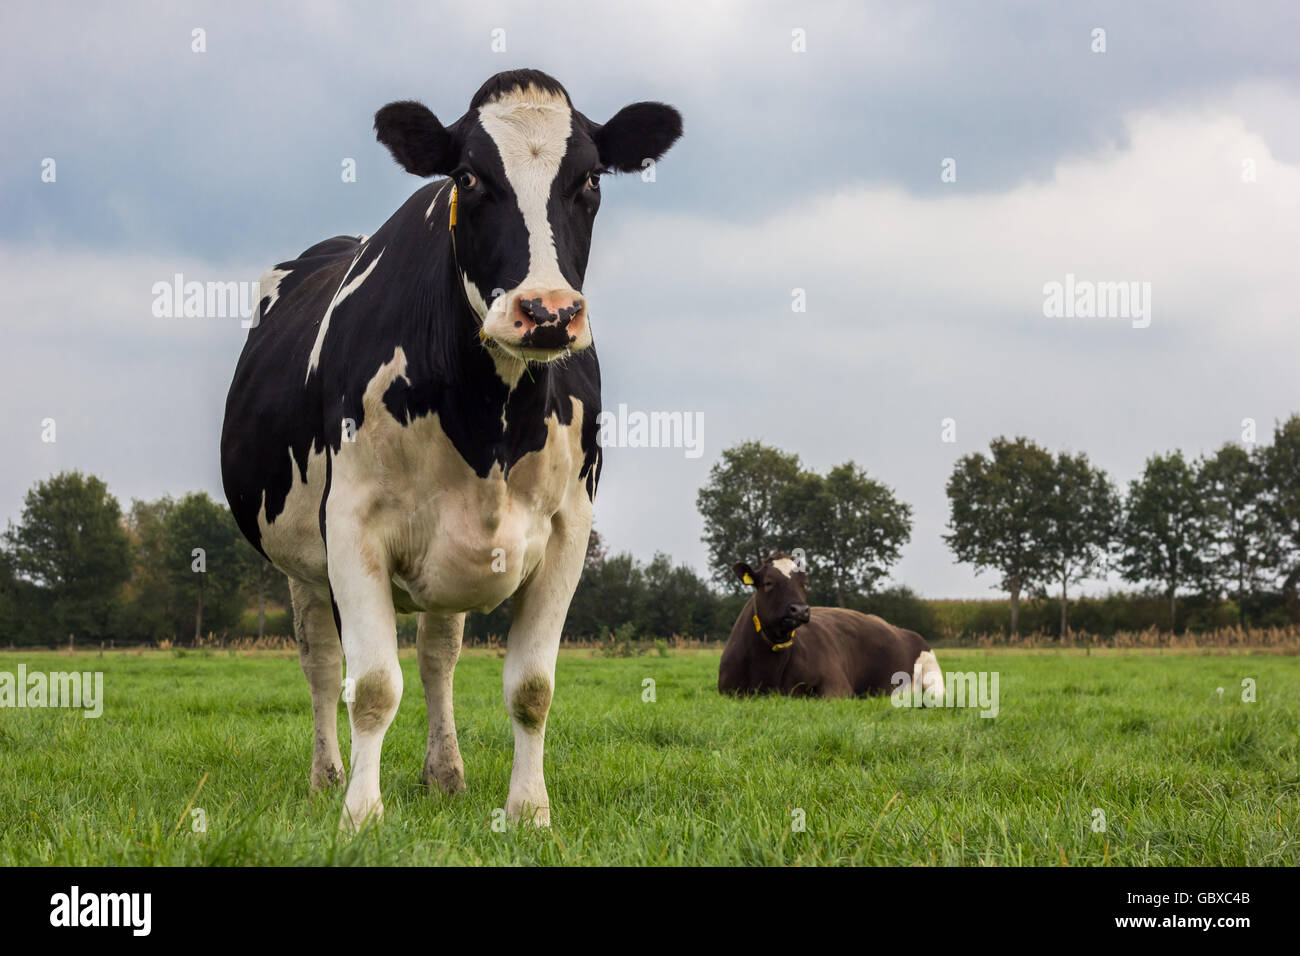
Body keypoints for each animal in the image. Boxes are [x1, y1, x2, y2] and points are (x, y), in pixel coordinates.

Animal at [220, 69, 681, 830]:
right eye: (469, 177)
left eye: (590, 178)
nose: (548, 312)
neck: (490, 420)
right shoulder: (351, 527)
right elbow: (373, 686)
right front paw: (360, 815)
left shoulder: (567, 529)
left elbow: (531, 687)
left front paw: (529, 812)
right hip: (301, 561)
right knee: (321, 664)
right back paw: (326, 777)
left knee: (438, 657)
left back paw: (446, 774)